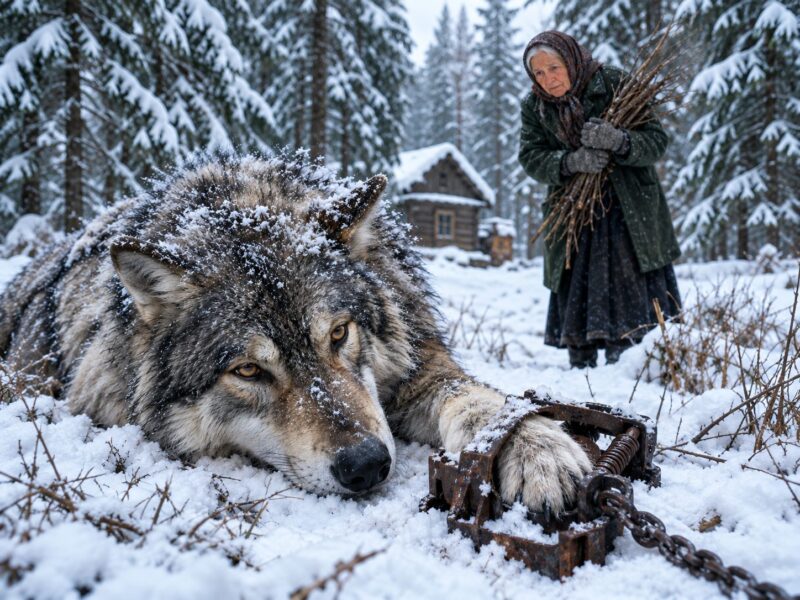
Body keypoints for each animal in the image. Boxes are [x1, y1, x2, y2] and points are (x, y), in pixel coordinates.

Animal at [0, 154, 591, 510]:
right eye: (248, 370)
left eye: (339, 334)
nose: (367, 465)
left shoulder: (414, 369)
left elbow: (477, 399)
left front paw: (535, 448)